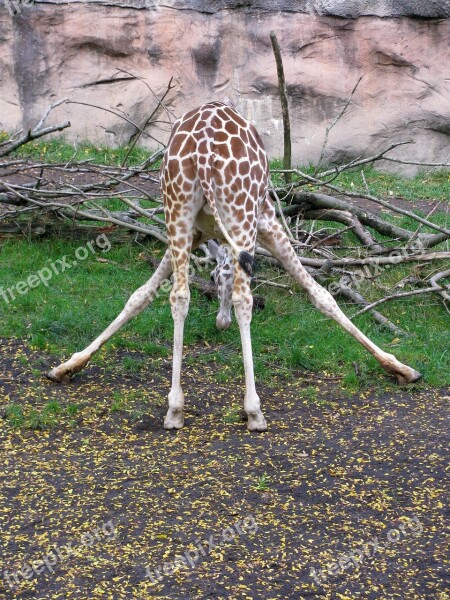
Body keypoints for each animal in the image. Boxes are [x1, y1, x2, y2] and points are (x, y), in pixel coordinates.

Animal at [46, 104, 422, 432]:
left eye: (215, 278)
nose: (220, 322)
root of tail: (203, 148)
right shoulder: (267, 221)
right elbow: (321, 295)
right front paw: (404, 369)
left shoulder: (194, 233)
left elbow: (140, 295)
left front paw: (67, 366)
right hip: (242, 216)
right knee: (245, 300)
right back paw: (253, 410)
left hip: (176, 210)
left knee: (179, 296)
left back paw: (175, 408)